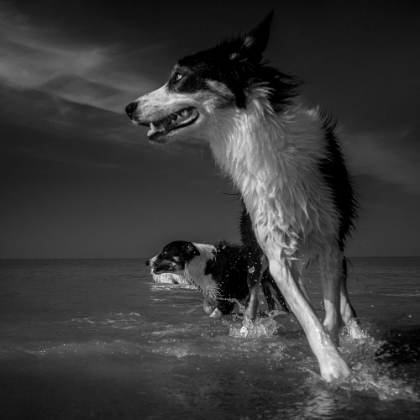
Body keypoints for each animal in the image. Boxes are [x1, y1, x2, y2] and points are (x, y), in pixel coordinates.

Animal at [145, 238, 288, 316]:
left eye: (165, 253)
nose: (146, 262)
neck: (200, 263)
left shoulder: (227, 295)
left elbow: (216, 312)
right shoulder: (213, 291)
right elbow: (207, 305)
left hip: (274, 284)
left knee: (284, 304)